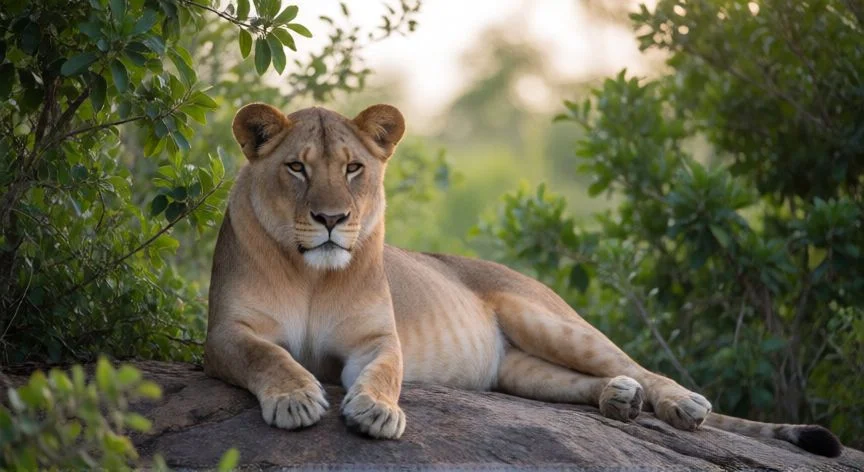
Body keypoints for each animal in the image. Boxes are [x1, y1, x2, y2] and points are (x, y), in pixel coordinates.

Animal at [203, 103, 842, 457]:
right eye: (296, 167)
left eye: (354, 168)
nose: (332, 219)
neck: (314, 275)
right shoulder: (223, 334)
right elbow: (269, 355)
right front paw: (295, 398)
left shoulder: (377, 339)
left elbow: (386, 372)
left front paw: (378, 413)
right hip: (517, 371)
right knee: (585, 382)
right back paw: (619, 401)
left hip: (546, 320)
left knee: (638, 365)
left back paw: (680, 403)